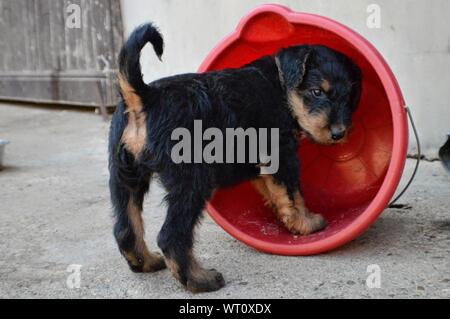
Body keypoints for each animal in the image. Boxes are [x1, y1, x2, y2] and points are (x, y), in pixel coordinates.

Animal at [110, 21, 362, 292]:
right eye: (316, 92)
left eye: (349, 96)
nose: (338, 133)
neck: (280, 85)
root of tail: (144, 97)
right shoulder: (283, 155)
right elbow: (294, 194)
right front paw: (306, 223)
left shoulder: (261, 161)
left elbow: (275, 192)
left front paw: (285, 218)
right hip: (191, 181)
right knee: (171, 235)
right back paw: (200, 279)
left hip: (125, 176)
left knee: (125, 228)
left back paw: (145, 262)